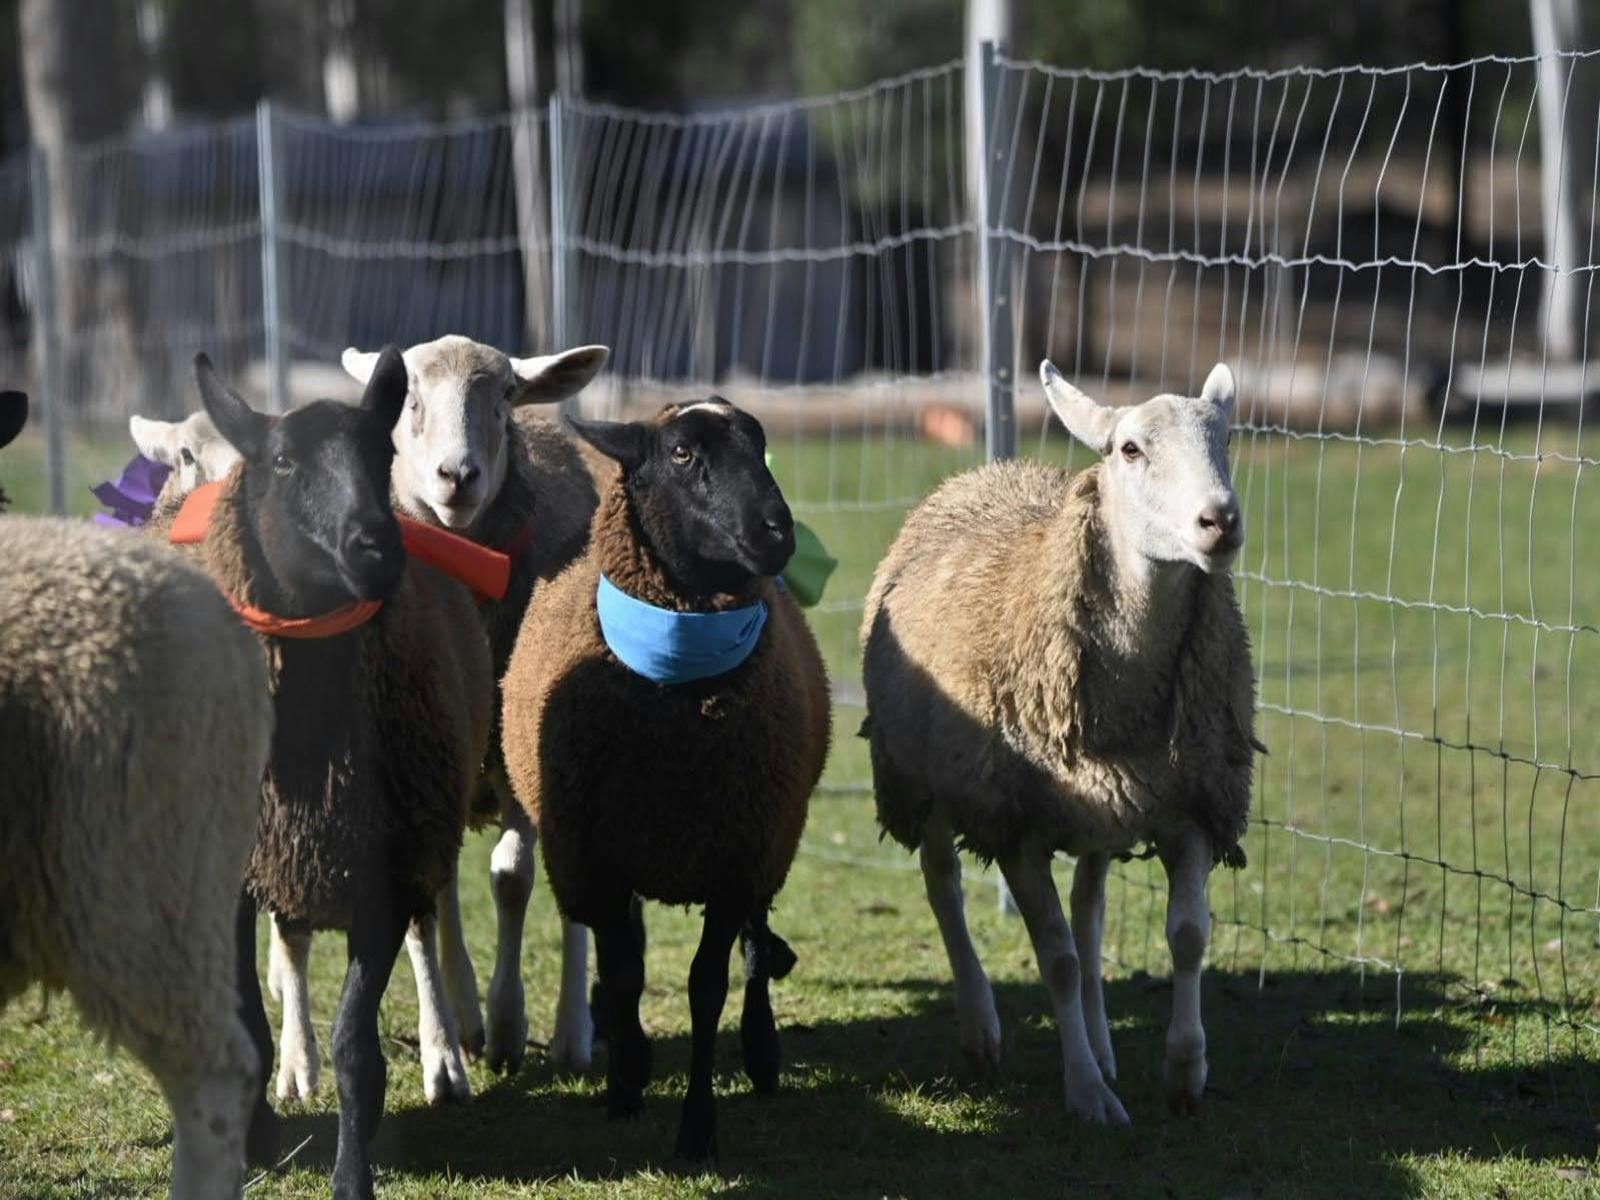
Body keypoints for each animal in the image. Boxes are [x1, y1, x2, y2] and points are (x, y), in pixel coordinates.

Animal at [174, 349, 493, 1200]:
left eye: (380, 453)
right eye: (282, 463)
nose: (376, 546)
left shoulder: (383, 869)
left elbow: (358, 1049)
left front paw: (353, 1175)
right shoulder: (232, 872)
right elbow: (248, 1019)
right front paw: (251, 1138)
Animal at [500, 397, 831, 1160]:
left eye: (759, 445)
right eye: (682, 453)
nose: (776, 533)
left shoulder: (737, 858)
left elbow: (708, 985)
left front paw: (697, 1128)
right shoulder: (596, 859)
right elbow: (624, 974)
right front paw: (626, 1083)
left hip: (773, 839)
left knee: (754, 949)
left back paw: (763, 1054)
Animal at [859, 361, 1259, 1126]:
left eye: (1225, 437)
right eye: (1130, 450)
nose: (1221, 520)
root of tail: (987, 471)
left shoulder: (1192, 802)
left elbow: (1187, 936)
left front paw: (1184, 1069)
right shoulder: (1016, 826)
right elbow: (1059, 960)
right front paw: (1087, 1093)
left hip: (1101, 805)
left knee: (1090, 910)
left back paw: (1102, 1045)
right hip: (923, 780)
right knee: (943, 885)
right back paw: (982, 1029)